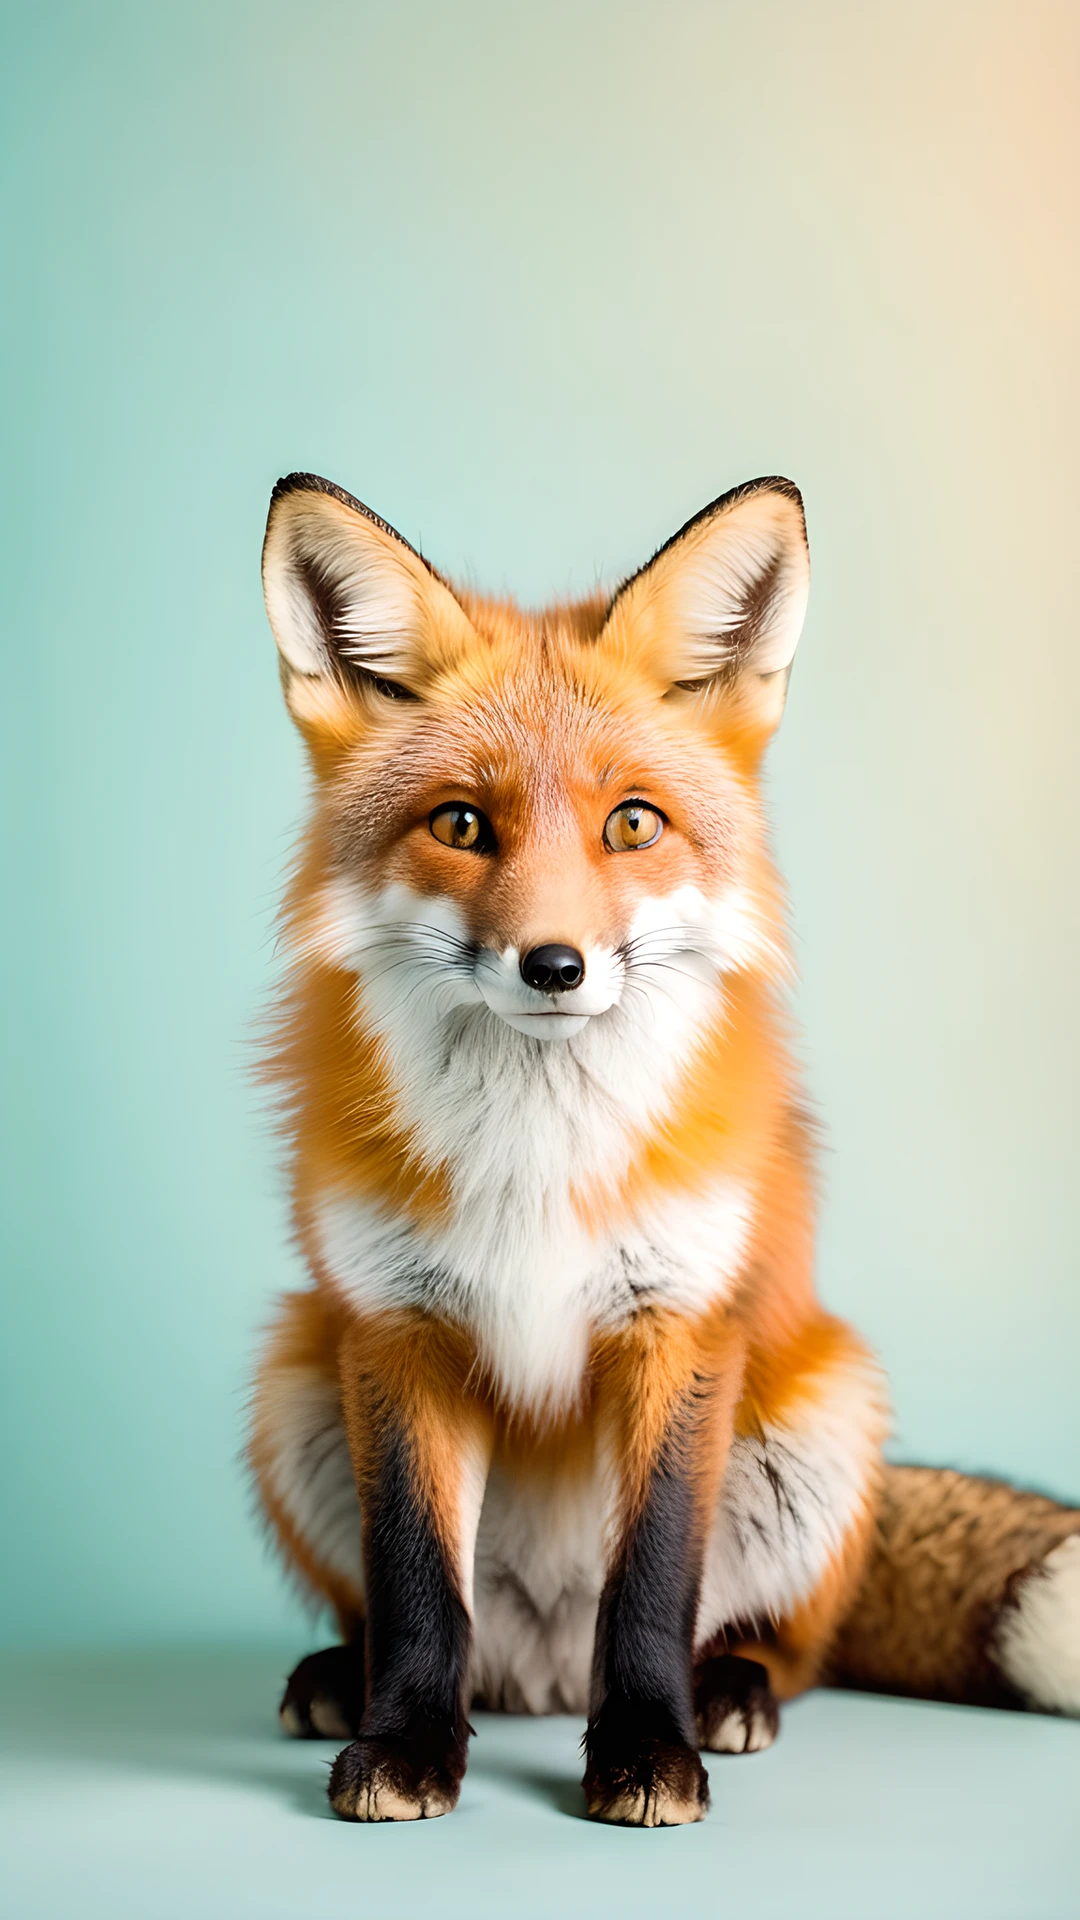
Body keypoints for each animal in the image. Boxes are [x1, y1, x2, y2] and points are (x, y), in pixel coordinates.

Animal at [249, 470, 1080, 1827]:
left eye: (632, 824)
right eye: (461, 825)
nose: (554, 965)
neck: (535, 1151)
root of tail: (536, 1672)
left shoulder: (676, 1324)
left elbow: (649, 1588)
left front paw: (647, 1750)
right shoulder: (399, 1329)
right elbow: (418, 1585)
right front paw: (408, 1743)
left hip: (823, 1408)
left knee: (779, 1642)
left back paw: (729, 1691)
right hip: (297, 1373)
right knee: (404, 1614)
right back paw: (342, 1675)